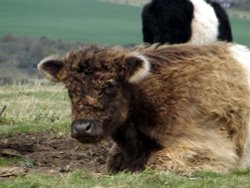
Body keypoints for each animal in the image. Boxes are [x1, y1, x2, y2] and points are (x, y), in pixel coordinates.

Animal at [37, 42, 250, 173]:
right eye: (69, 88)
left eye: (110, 84)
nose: (82, 127)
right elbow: (112, 161)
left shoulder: (212, 146)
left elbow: (157, 161)